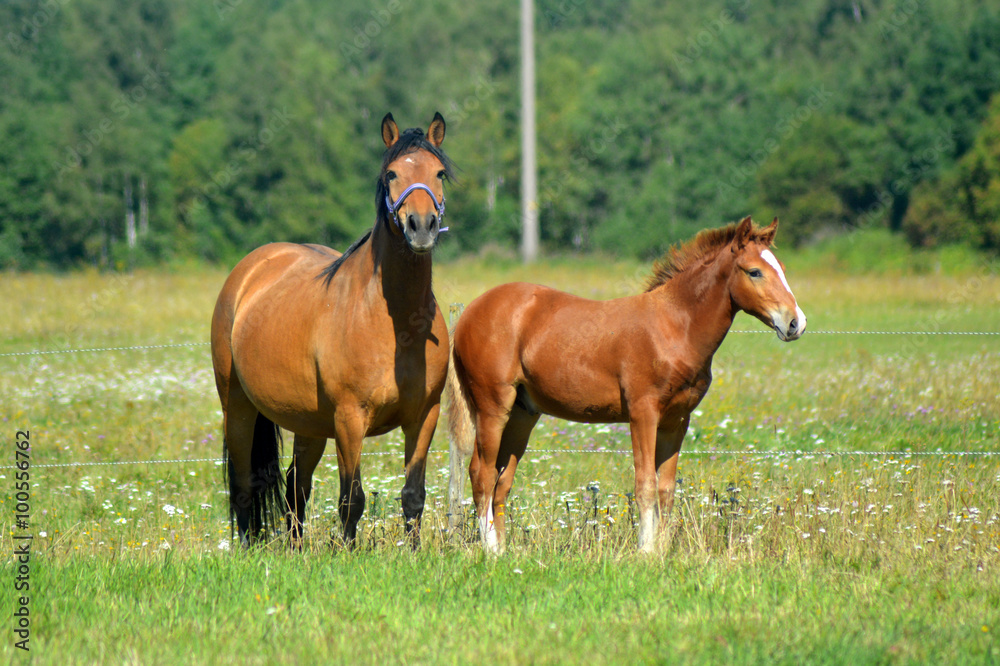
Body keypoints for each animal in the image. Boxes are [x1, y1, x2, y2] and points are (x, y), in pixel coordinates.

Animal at [217, 111, 456, 544]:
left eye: (440, 172)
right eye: (391, 173)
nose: (421, 227)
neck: (396, 324)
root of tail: (250, 268)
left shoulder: (423, 416)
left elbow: (413, 495)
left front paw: (414, 552)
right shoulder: (350, 418)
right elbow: (352, 499)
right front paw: (347, 552)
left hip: (308, 423)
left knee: (295, 487)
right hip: (238, 407)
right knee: (243, 486)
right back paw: (248, 547)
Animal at [450, 217, 808, 548]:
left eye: (782, 268)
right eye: (754, 272)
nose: (796, 323)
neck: (674, 327)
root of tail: (469, 313)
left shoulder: (676, 421)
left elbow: (666, 489)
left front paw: (661, 550)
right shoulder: (643, 413)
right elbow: (645, 484)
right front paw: (646, 552)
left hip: (523, 414)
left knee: (501, 482)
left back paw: (504, 551)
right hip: (493, 408)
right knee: (481, 474)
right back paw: (491, 551)